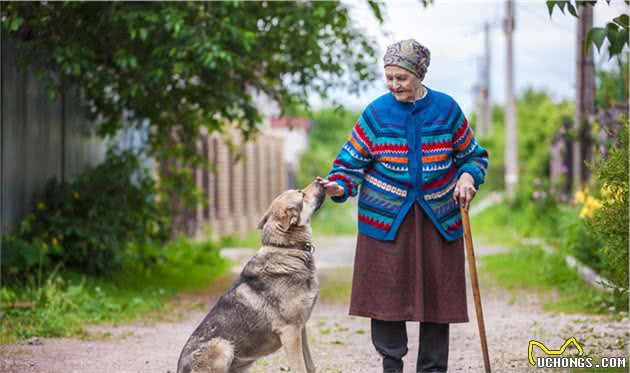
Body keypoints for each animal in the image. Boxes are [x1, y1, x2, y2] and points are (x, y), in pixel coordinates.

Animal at [177, 179, 326, 370]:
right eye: (302, 194)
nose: (319, 179)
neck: (287, 248)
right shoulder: (290, 331)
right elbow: (300, 368)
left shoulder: (301, 329)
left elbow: (310, 365)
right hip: (223, 346)